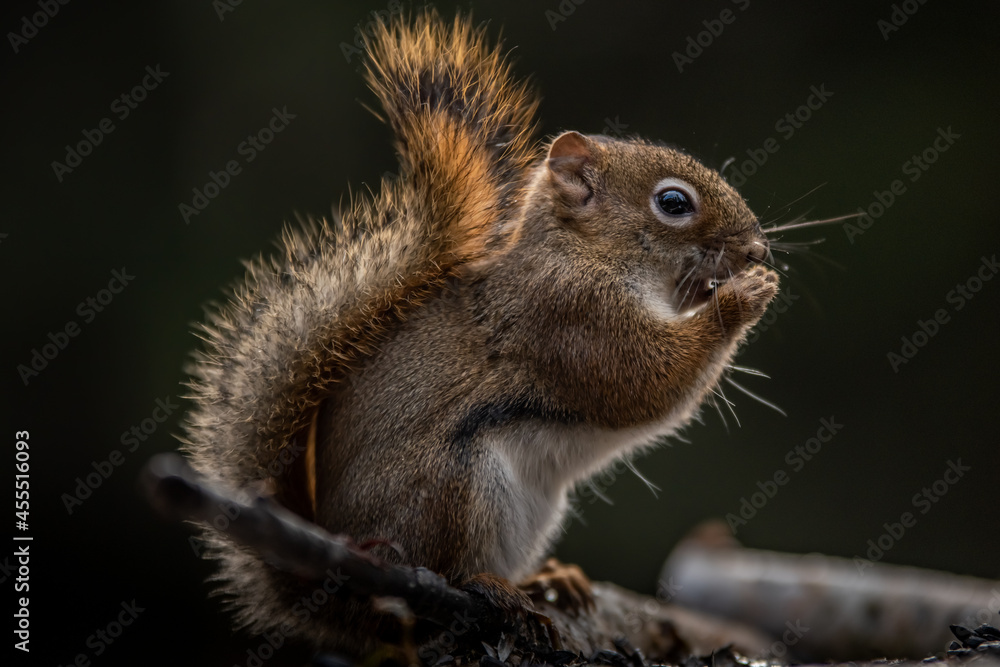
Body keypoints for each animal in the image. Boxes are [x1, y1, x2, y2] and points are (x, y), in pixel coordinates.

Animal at [181, 10, 778, 655]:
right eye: (672, 202)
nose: (757, 249)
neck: (585, 250)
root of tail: (337, 591)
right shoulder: (567, 314)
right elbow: (643, 379)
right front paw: (743, 298)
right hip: (453, 488)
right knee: (446, 564)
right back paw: (495, 588)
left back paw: (548, 579)